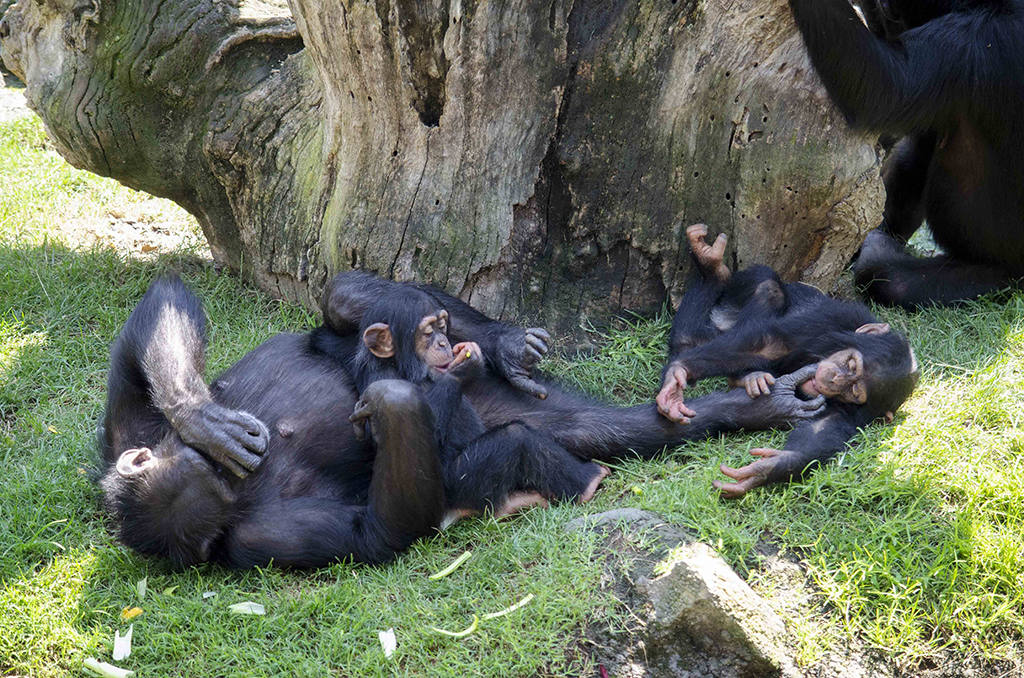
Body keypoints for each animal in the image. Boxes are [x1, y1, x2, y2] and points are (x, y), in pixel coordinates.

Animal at [348, 290, 610, 520]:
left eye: (442, 326)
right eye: (428, 332)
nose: (443, 342)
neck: (400, 367)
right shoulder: (385, 382)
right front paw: (463, 368)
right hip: (459, 485)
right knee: (516, 437)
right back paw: (589, 480)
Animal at [655, 225, 921, 497]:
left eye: (854, 390)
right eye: (851, 365)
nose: (835, 380)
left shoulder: (854, 413)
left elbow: (822, 428)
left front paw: (769, 467)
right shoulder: (832, 319)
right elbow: (771, 343)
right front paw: (678, 375)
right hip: (727, 309)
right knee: (765, 288)